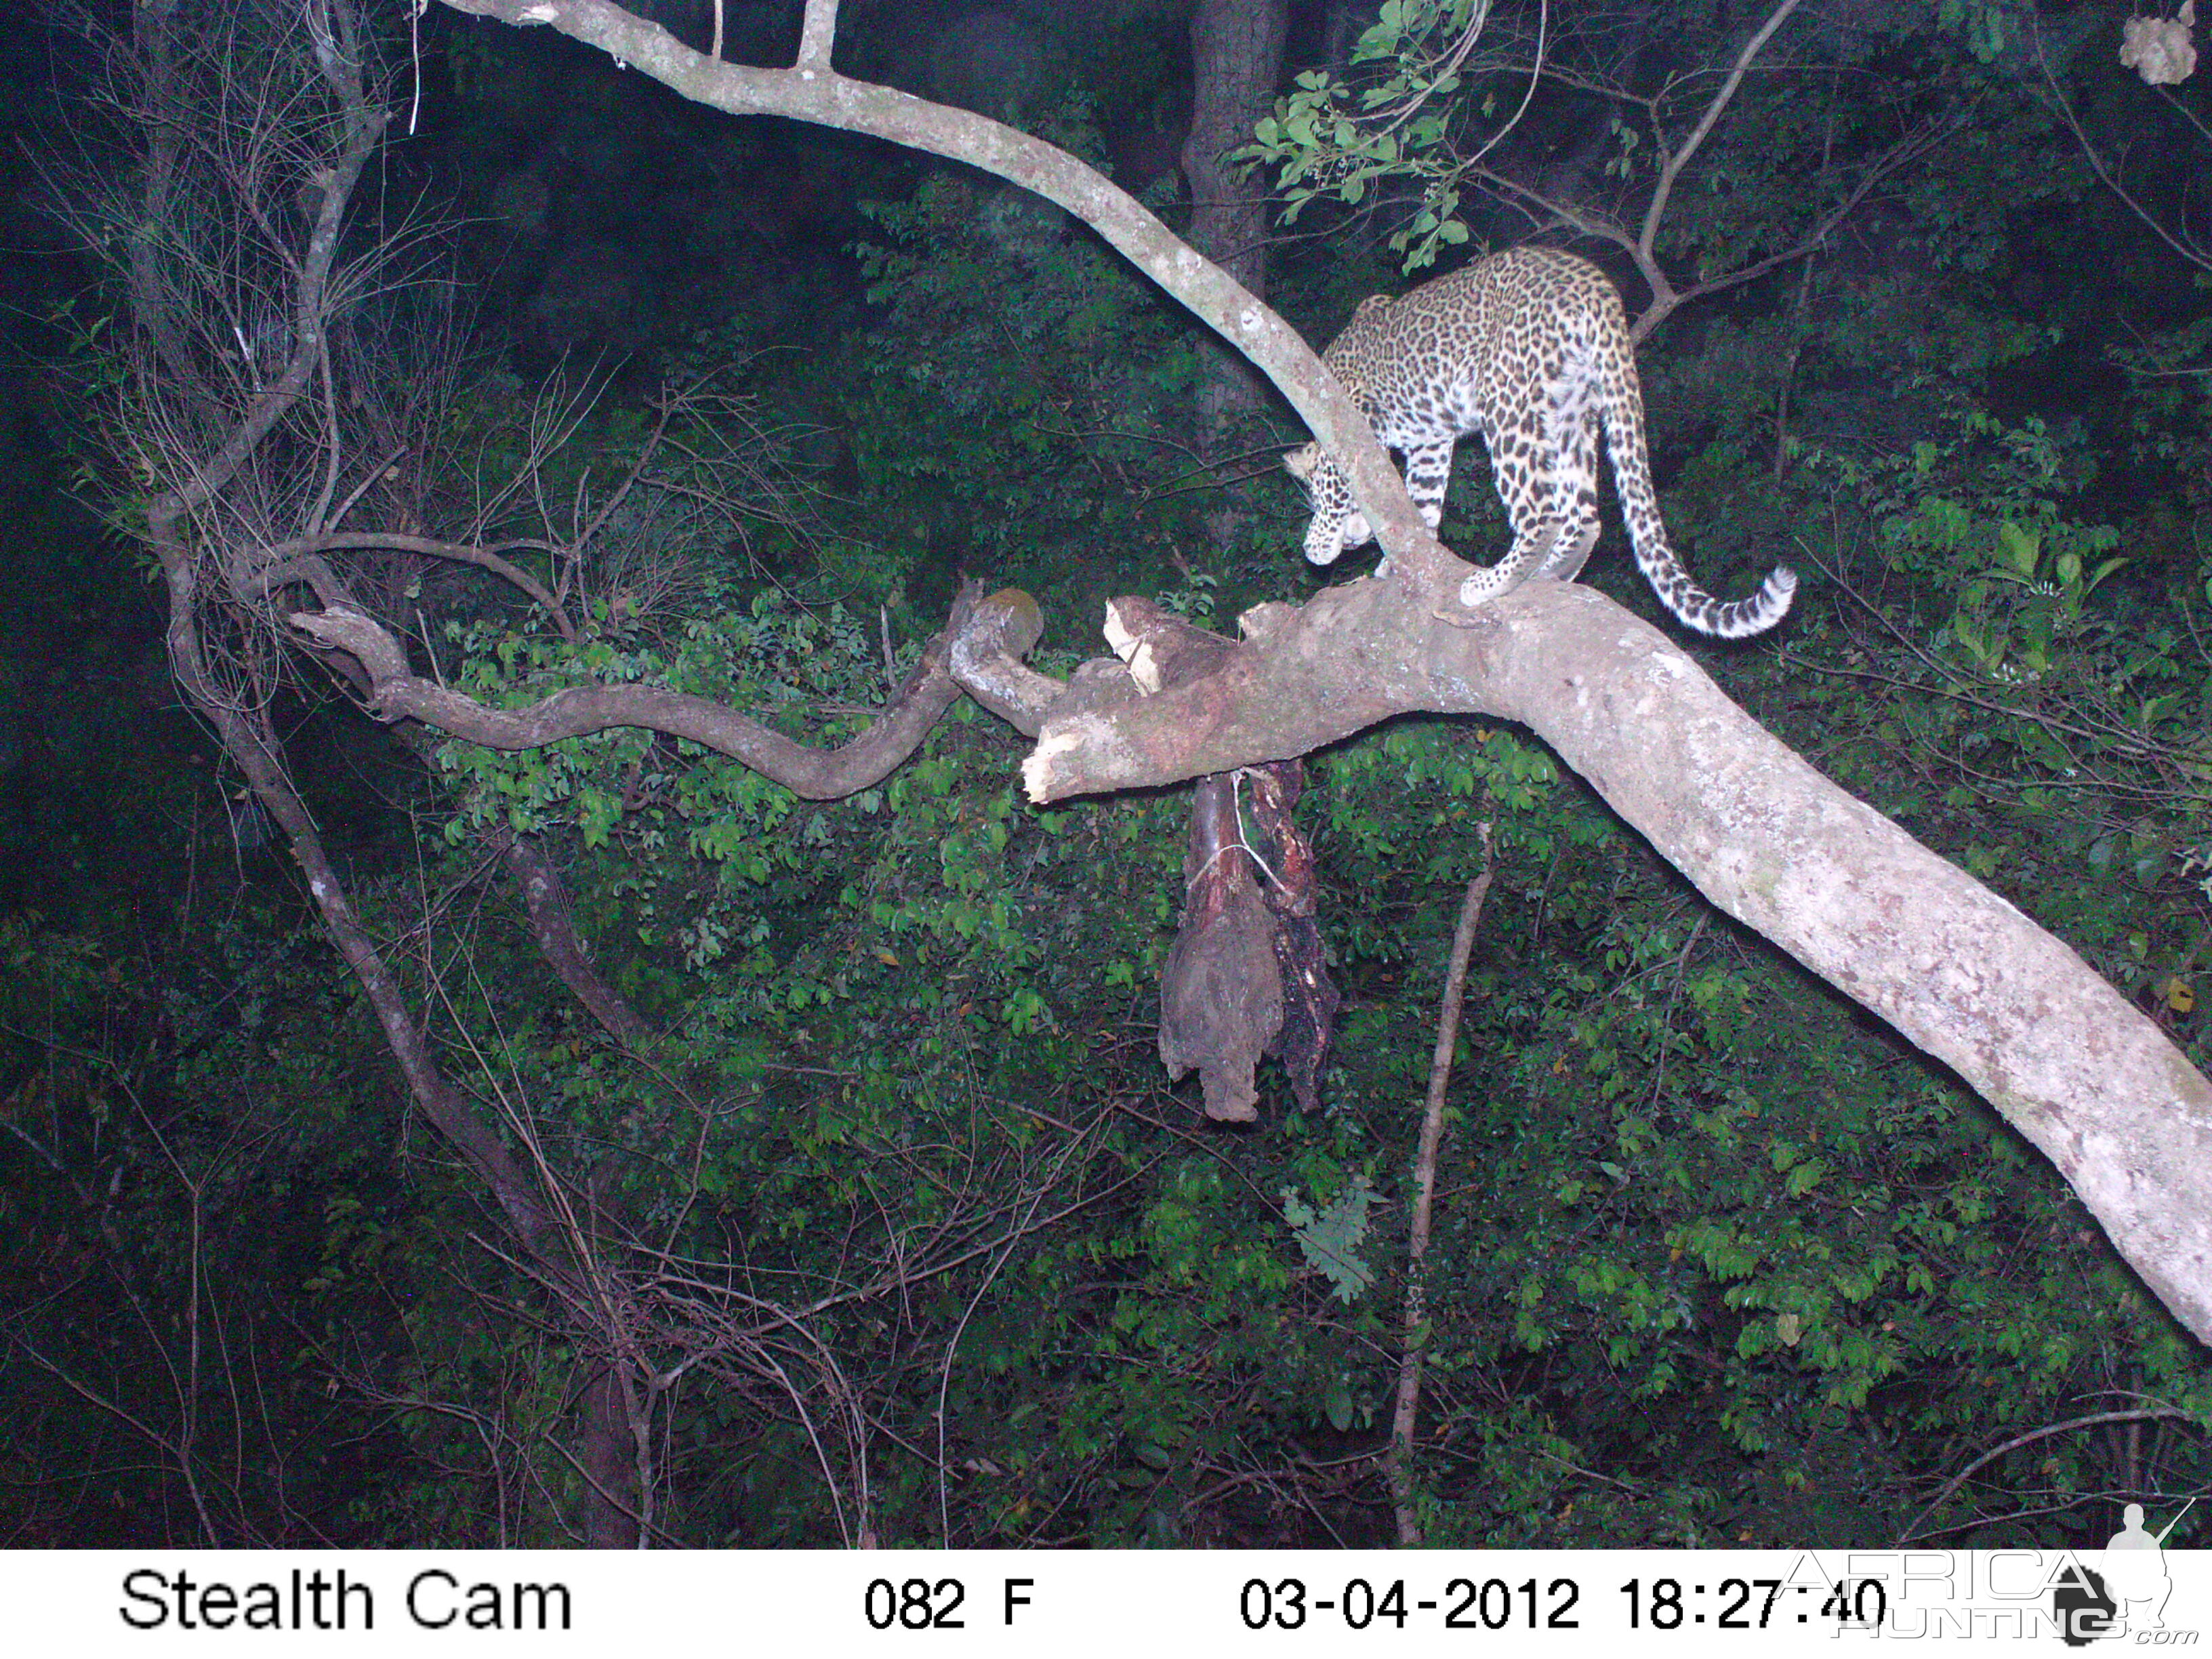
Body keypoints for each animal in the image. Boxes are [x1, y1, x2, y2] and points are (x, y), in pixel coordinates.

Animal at [1292, 243, 1787, 641]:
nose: (1349, 546)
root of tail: (1593, 281)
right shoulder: (1431, 441)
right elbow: (1423, 501)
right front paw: (1393, 559)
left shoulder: (1346, 409)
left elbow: (1338, 484)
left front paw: (1319, 542)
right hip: (1571, 408)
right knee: (1585, 515)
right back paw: (1553, 571)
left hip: (1505, 401)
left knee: (1541, 514)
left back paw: (1494, 582)